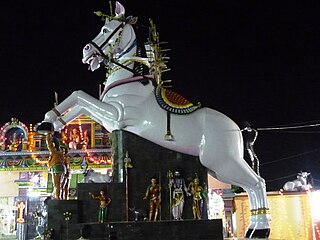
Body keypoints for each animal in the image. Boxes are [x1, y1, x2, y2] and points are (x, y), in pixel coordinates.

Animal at [38, 1, 272, 238]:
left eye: (105, 30)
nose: (86, 50)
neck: (129, 80)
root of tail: (237, 129)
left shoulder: (116, 117)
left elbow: (79, 95)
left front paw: (48, 121)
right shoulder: (109, 117)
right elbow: (77, 104)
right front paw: (50, 124)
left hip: (223, 163)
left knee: (257, 183)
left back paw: (260, 229)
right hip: (219, 167)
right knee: (252, 185)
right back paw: (254, 229)